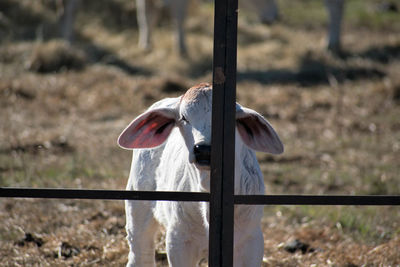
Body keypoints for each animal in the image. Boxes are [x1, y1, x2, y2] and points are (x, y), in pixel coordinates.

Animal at [119, 82, 284, 266]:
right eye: (184, 118)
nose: (204, 150)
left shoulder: (252, 239)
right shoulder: (178, 240)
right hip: (137, 208)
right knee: (141, 253)